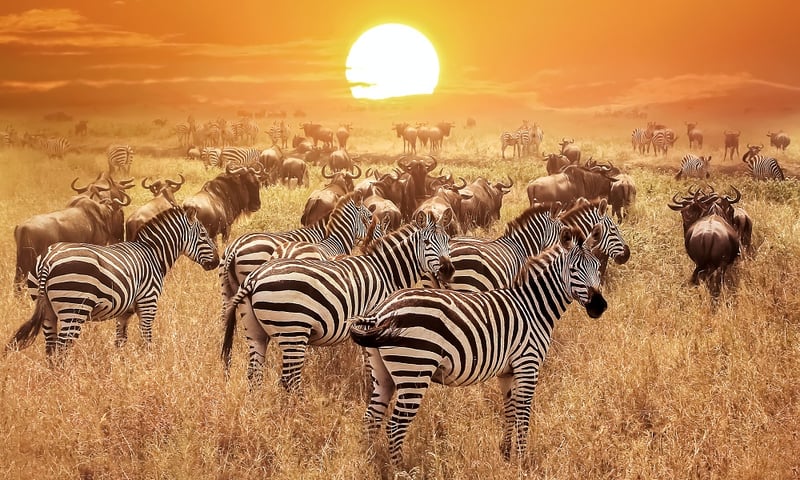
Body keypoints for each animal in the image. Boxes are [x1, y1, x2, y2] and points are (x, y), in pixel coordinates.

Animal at [6, 207, 219, 358]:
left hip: (47, 309)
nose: (217, 262)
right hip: (73, 309)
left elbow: (120, 341)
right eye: (203, 235)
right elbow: (146, 339)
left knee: (50, 349)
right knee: (61, 349)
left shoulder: (124, 312)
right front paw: (148, 366)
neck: (153, 254)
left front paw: (121, 368)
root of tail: (48, 260)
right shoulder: (148, 303)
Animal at [220, 211, 454, 391]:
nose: (448, 270)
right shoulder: (371, 323)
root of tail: (254, 278)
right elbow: (369, 364)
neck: (385, 271)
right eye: (426, 242)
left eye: (448, 242)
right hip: (293, 330)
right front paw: (369, 388)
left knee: (254, 372)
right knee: (289, 379)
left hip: (255, 329)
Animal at [349, 225, 607, 465]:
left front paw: (506, 454)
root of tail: (381, 312)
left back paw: (370, 463)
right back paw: (400, 470)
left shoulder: (506, 371)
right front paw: (523, 460)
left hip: (383, 373)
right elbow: (523, 415)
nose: (599, 306)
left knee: (371, 419)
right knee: (394, 426)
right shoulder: (528, 364)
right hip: (414, 368)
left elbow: (509, 411)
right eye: (574, 270)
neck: (533, 306)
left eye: (597, 267)